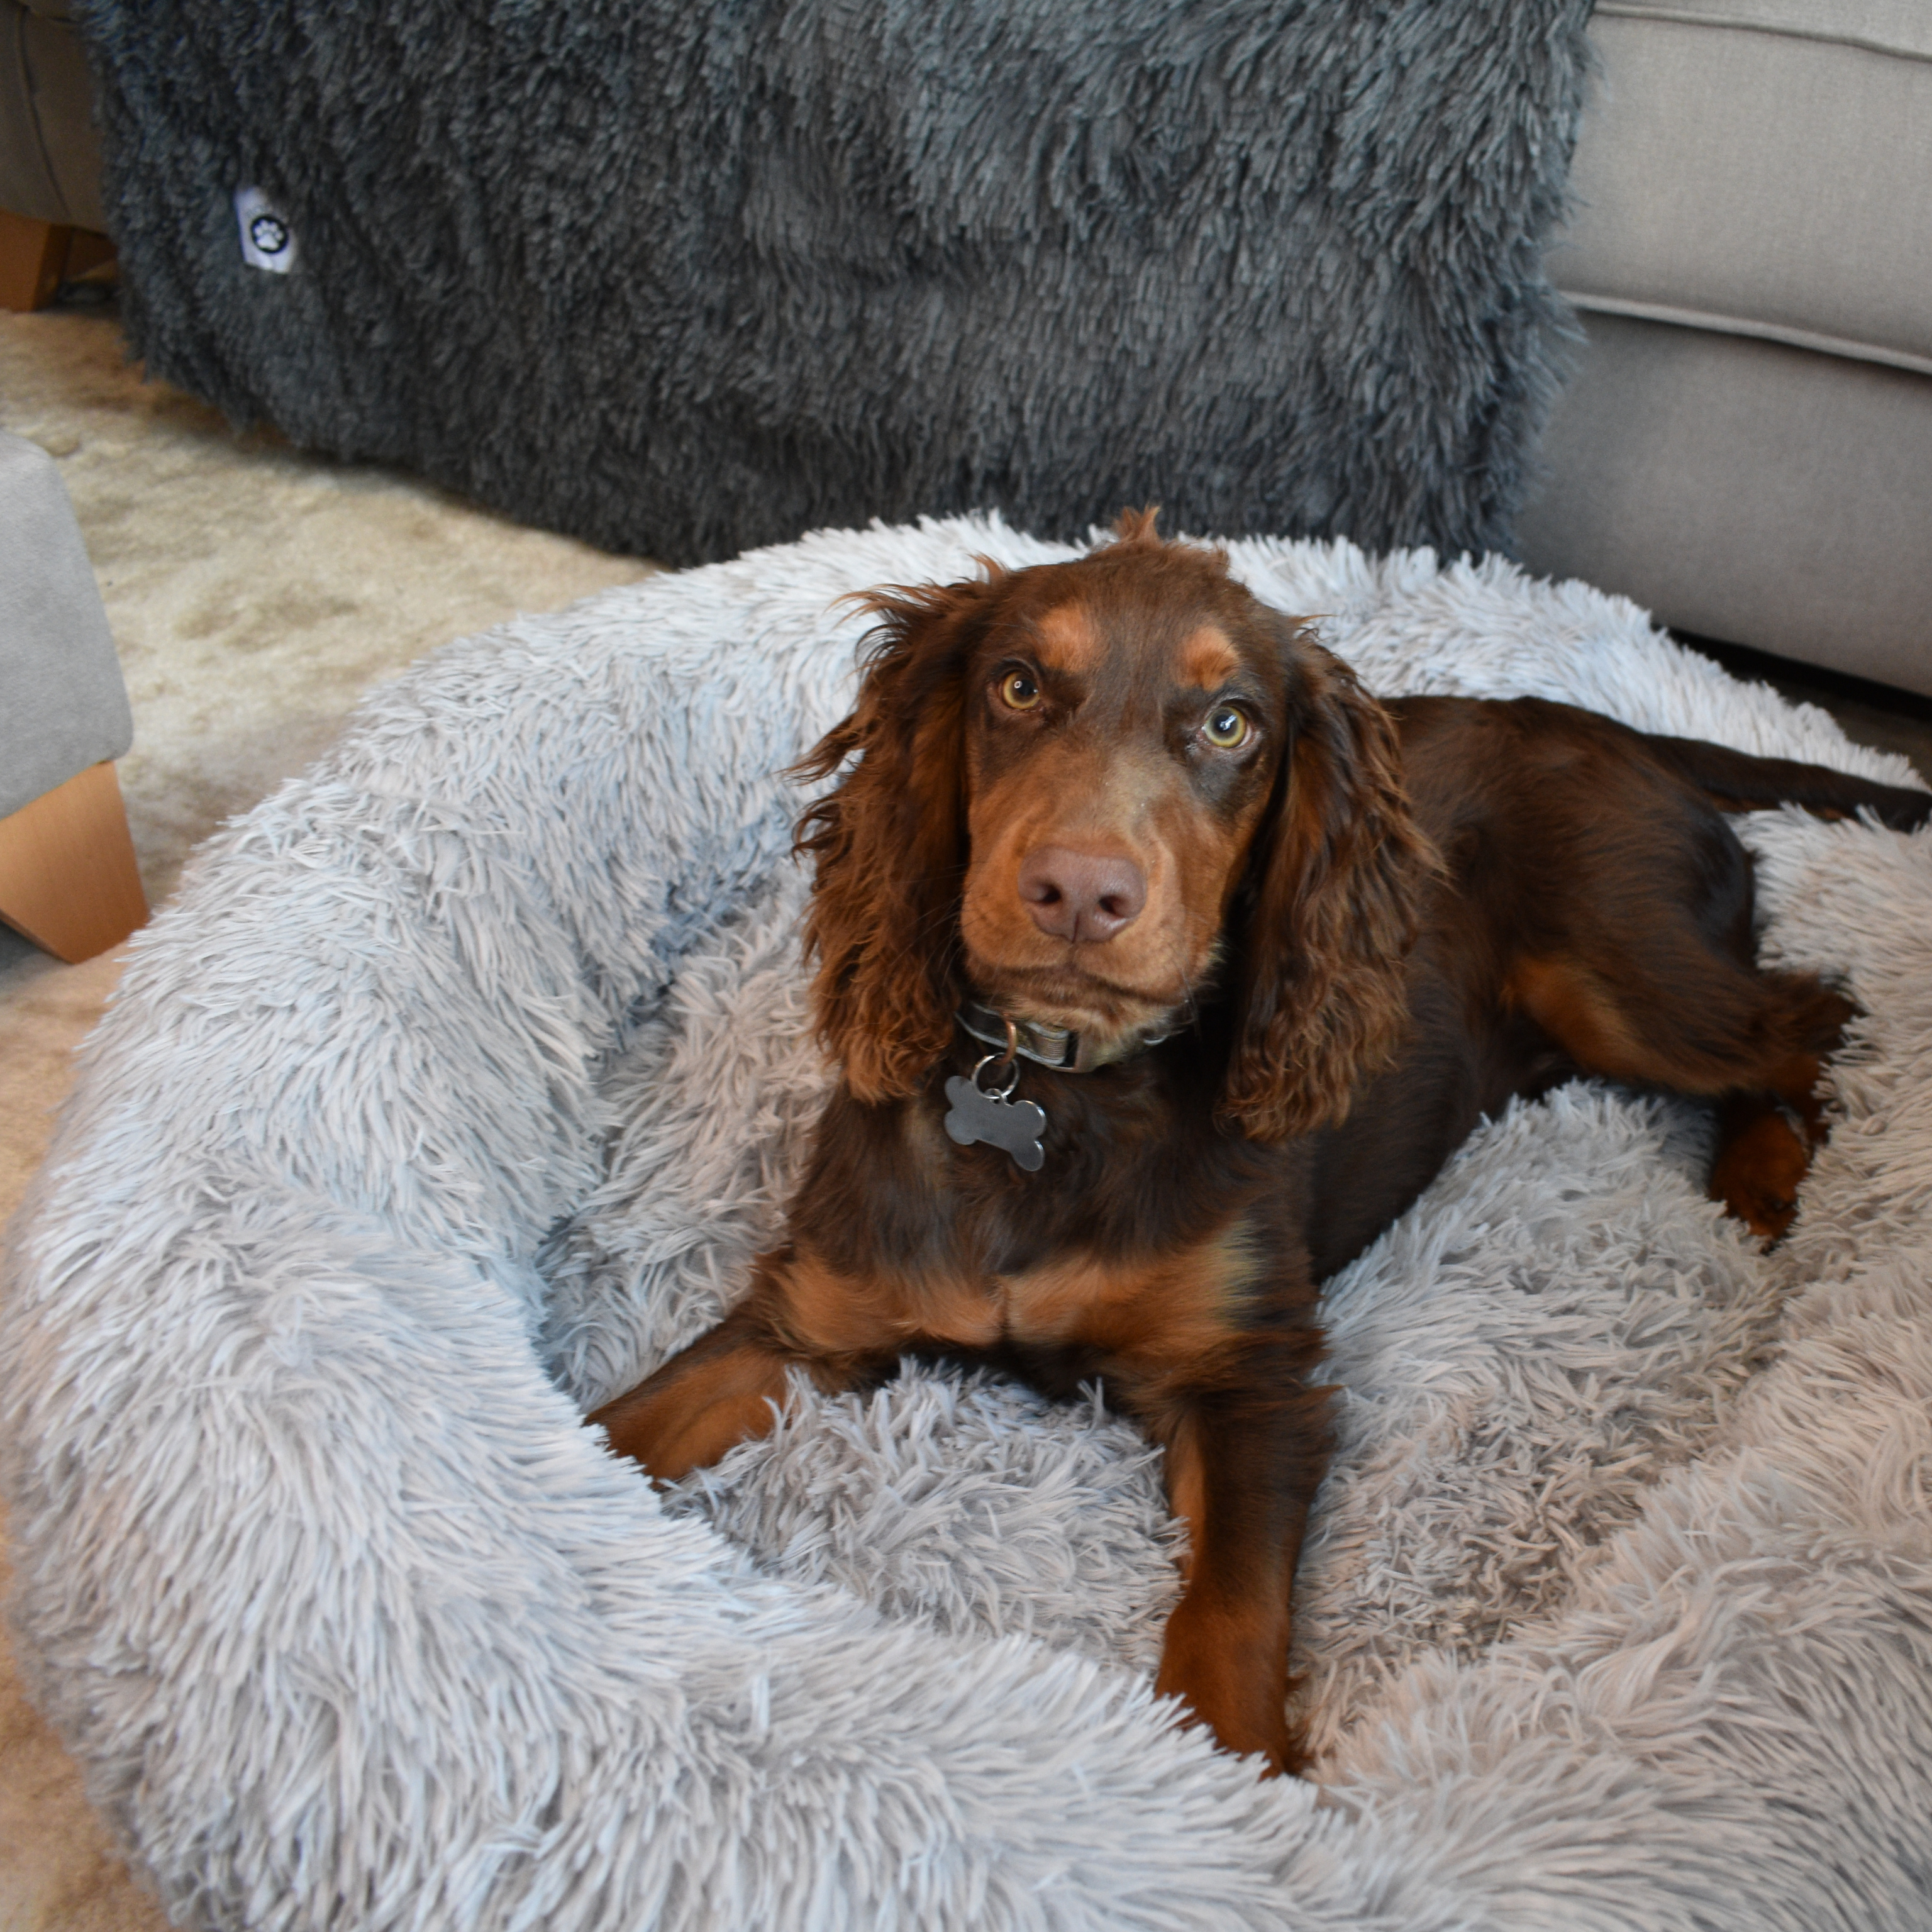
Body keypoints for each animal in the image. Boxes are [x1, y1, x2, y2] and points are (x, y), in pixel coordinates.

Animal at [591, 518, 1932, 1777]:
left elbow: (1229, 1612)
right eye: (1017, 687)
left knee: (1818, 1021)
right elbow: (611, 1432)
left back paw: (1768, 1180)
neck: (1055, 1089)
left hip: (1617, 963)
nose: (1079, 892)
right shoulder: (812, 1314)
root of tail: (1617, 729)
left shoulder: (1250, 1373)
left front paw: (1235, 1790)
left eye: (1230, 723)